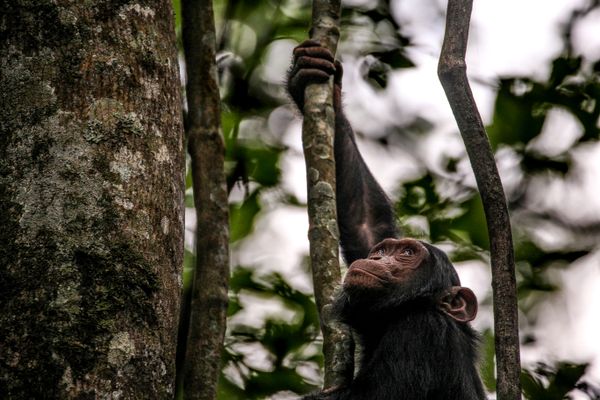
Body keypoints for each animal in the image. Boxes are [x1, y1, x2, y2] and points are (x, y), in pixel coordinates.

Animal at [286, 40, 488, 400]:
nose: (380, 258)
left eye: (407, 254)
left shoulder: (421, 333)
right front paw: (313, 77)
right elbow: (365, 218)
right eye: (383, 249)